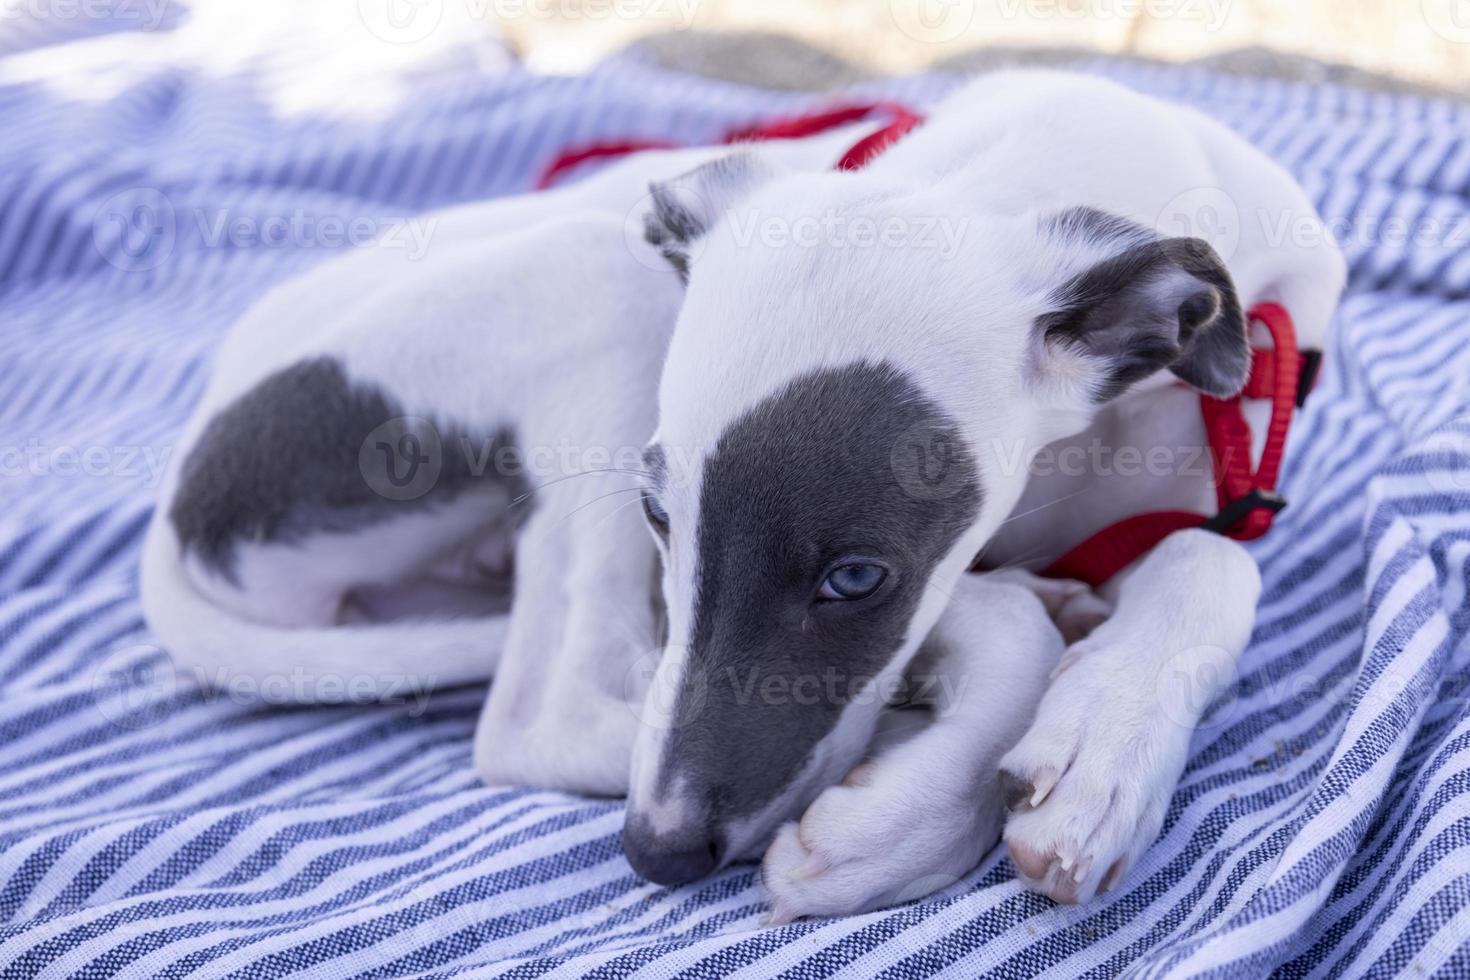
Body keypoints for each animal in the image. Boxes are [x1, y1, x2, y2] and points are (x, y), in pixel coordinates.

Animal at [140, 70, 1346, 922]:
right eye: (657, 516)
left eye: (854, 576)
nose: (659, 852)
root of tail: (184, 500)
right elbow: (1001, 614)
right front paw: (910, 809)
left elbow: (1212, 553)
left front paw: (1107, 749)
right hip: (600, 280)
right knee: (547, 708)